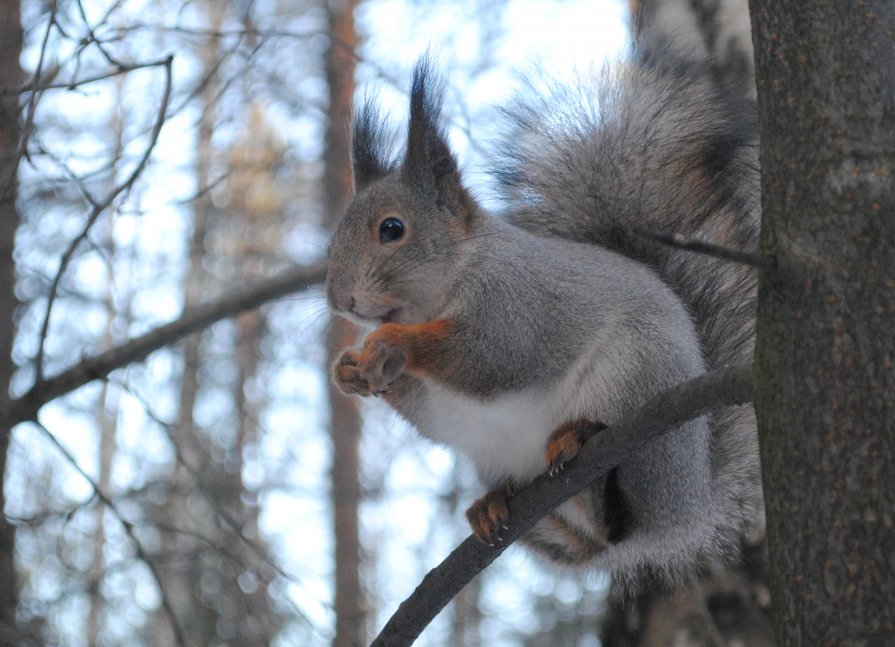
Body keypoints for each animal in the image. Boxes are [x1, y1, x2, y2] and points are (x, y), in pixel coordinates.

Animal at [326, 49, 760, 588]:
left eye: (392, 228)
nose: (338, 300)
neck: (444, 289)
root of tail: (690, 503)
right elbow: (426, 407)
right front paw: (347, 370)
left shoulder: (518, 306)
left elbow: (489, 358)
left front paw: (392, 342)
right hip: (494, 457)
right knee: (589, 545)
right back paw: (495, 508)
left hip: (637, 383)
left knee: (618, 525)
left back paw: (581, 454)